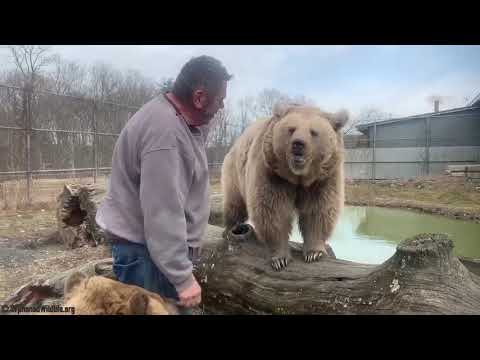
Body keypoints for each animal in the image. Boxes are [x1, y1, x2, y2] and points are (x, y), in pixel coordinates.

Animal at [221, 101, 348, 270]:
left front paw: (314, 253)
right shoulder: (272, 173)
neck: (298, 177)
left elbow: (318, 210)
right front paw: (280, 259)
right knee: (234, 203)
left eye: (313, 132)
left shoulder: (323, 178)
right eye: (291, 129)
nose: (298, 144)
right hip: (234, 171)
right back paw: (231, 228)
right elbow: (274, 211)